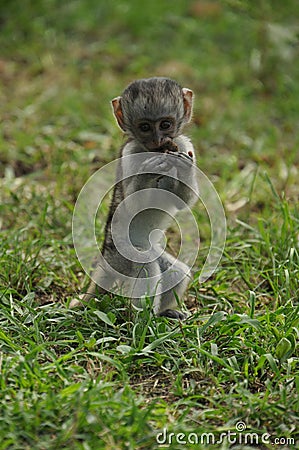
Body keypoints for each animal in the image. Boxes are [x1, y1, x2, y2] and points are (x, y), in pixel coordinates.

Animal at [72, 75, 199, 318]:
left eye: (165, 125)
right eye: (145, 127)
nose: (158, 141)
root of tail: (105, 256)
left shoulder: (185, 144)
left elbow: (181, 201)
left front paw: (183, 167)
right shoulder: (130, 152)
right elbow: (131, 203)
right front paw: (150, 169)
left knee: (176, 272)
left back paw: (165, 313)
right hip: (122, 257)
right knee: (146, 266)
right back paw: (145, 320)